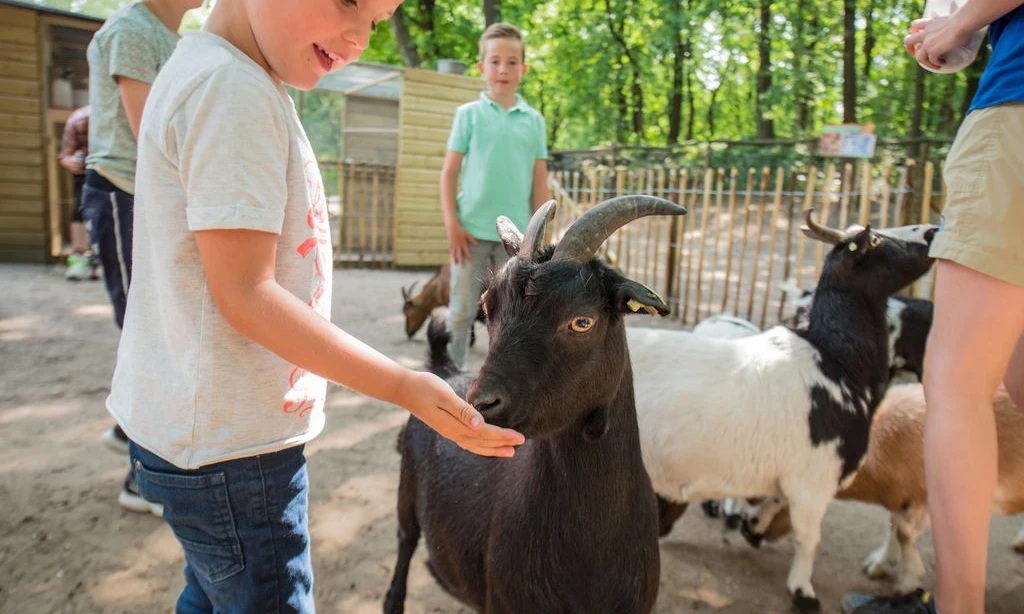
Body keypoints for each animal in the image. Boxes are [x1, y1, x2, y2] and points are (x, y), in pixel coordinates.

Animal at [380, 195, 684, 614]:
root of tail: (446, 370)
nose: (480, 403)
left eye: (582, 321)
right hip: (406, 491)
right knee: (405, 540)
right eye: (487, 306)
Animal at [622, 209, 937, 609]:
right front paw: (802, 591)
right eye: (876, 240)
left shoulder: (789, 474)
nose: (932, 230)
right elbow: (808, 539)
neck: (834, 359)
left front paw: (754, 527)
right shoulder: (815, 479)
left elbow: (774, 501)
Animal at [745, 386, 1024, 593]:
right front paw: (879, 564)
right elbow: (894, 524)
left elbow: (903, 532)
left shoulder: (923, 496)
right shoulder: (903, 497)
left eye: (777, 495)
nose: (748, 532)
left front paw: (907, 582)